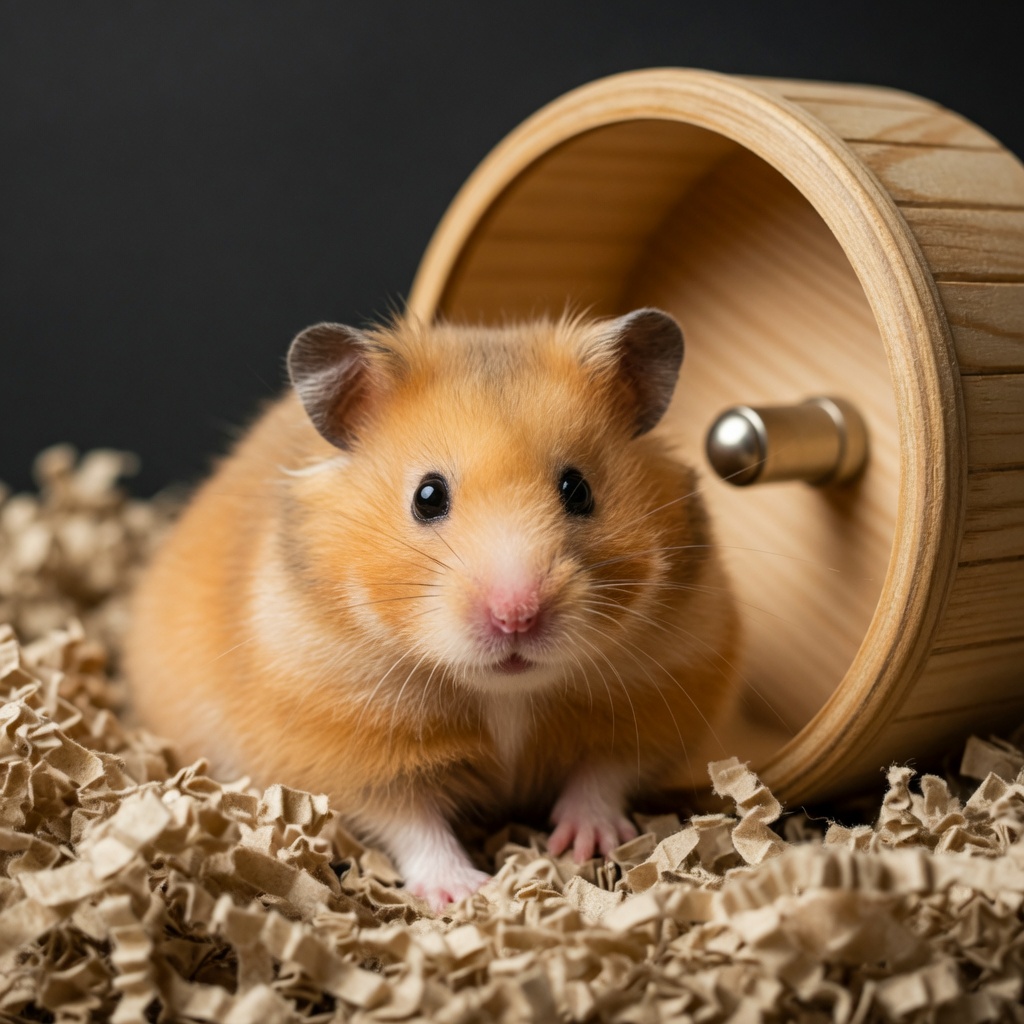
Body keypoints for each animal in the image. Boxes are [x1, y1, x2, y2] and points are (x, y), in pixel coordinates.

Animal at [125, 309, 739, 911]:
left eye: (578, 489)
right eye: (428, 496)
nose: (516, 616)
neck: (505, 694)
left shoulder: (664, 692)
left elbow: (603, 774)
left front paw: (585, 845)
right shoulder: (345, 745)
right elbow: (411, 822)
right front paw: (462, 892)